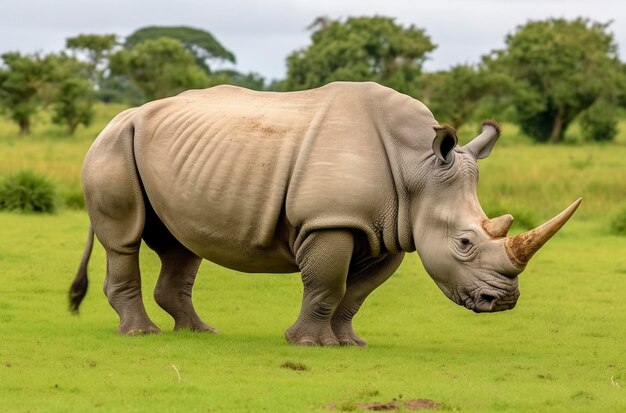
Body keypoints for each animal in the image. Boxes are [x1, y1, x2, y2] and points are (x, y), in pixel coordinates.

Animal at [69, 80, 580, 344]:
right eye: (465, 243)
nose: (503, 302)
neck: (417, 167)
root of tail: (118, 116)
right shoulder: (330, 221)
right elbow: (327, 284)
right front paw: (308, 344)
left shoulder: (390, 229)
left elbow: (355, 293)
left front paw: (349, 343)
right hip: (114, 146)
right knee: (124, 239)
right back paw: (141, 335)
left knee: (180, 243)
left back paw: (200, 333)